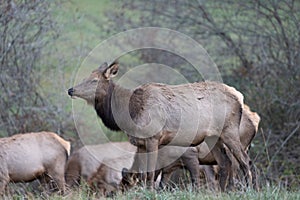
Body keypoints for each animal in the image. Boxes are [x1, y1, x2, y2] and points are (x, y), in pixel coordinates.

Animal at [68, 61, 253, 188]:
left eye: (94, 80)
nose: (71, 90)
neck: (131, 113)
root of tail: (239, 96)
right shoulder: (140, 143)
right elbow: (143, 174)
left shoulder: (154, 138)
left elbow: (150, 173)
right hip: (213, 137)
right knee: (225, 163)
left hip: (229, 131)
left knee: (244, 160)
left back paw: (248, 188)